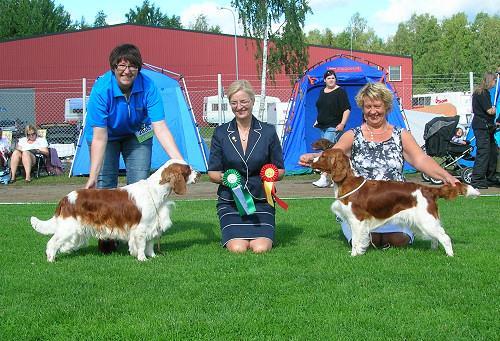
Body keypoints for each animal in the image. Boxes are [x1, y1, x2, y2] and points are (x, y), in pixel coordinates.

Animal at [30, 161, 199, 262]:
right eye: (188, 169)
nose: (199, 174)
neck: (156, 191)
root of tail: (65, 198)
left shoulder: (152, 225)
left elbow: (150, 245)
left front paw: (153, 256)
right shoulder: (141, 228)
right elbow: (142, 245)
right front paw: (142, 259)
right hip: (68, 228)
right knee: (52, 243)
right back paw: (51, 260)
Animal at [312, 147, 480, 256]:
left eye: (323, 156)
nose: (311, 160)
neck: (348, 182)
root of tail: (428, 189)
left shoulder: (357, 220)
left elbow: (356, 241)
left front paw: (354, 255)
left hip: (425, 220)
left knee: (444, 237)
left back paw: (450, 255)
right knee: (435, 237)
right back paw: (433, 250)